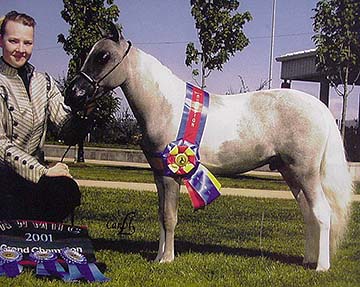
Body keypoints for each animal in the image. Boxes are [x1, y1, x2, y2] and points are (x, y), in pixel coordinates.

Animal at [64, 25, 352, 272]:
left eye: (103, 56)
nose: (72, 94)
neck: (165, 106)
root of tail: (319, 108)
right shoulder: (160, 174)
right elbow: (162, 215)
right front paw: (158, 256)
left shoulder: (171, 176)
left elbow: (170, 217)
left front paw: (167, 260)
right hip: (290, 172)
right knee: (308, 214)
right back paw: (308, 260)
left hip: (305, 173)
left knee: (322, 213)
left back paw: (321, 267)